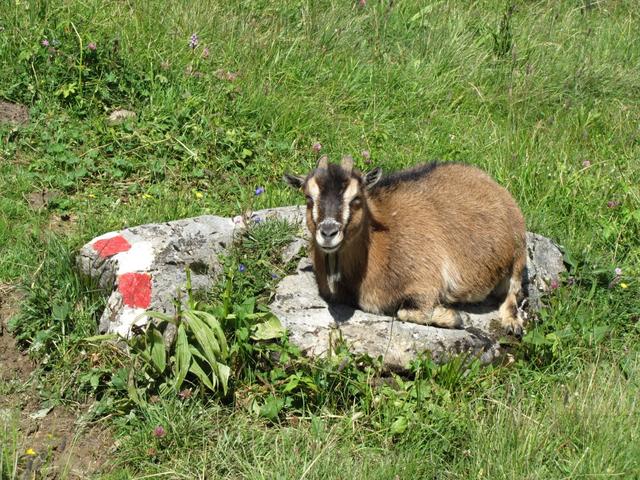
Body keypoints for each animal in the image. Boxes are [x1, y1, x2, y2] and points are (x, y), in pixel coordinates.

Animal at [284, 156, 524, 336]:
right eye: (308, 198)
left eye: (356, 198)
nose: (328, 233)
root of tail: (489, 181)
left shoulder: (426, 283)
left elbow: (407, 312)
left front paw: (455, 316)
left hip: (519, 251)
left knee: (513, 291)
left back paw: (512, 324)